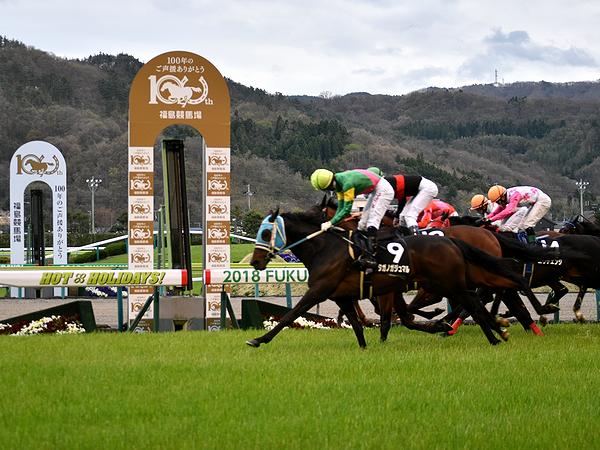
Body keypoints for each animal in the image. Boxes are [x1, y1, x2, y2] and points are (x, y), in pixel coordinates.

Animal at [246, 207, 548, 348]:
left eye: (265, 232)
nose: (255, 262)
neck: (327, 248)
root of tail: (453, 241)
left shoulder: (320, 291)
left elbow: (290, 314)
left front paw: (259, 340)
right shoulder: (344, 294)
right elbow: (361, 321)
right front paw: (366, 347)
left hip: (451, 282)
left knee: (483, 300)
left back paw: (499, 331)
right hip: (457, 281)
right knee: (494, 295)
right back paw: (507, 326)